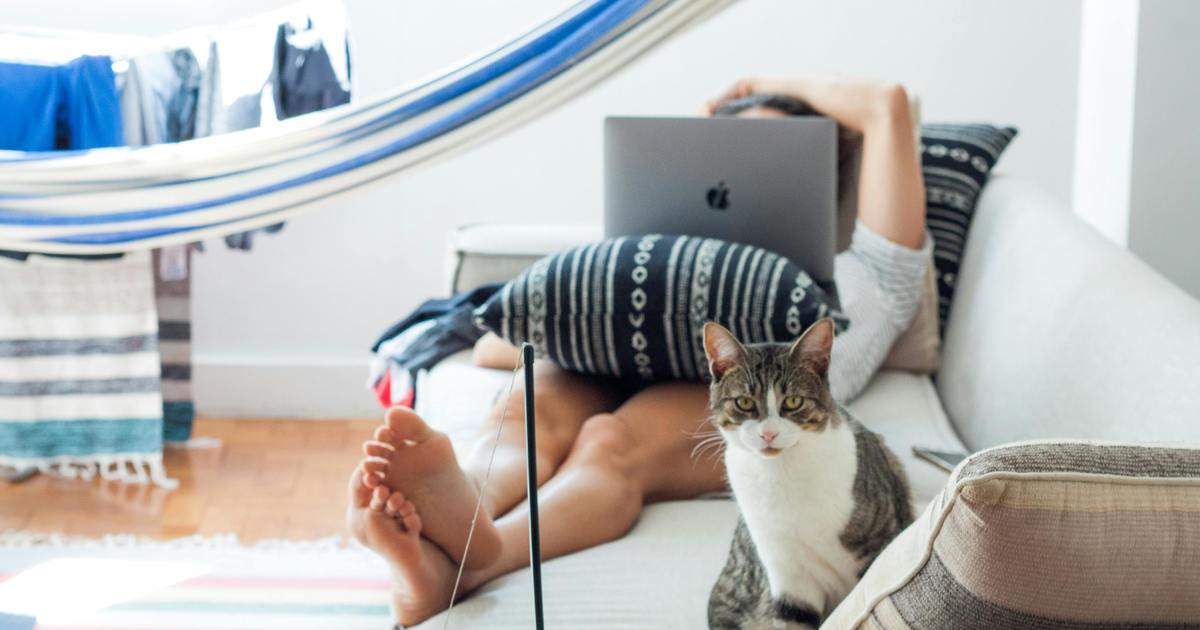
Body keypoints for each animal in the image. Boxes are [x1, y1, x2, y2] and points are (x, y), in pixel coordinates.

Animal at [700, 319, 907, 628]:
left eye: (794, 401)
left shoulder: (878, 545)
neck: (783, 474)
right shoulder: (789, 577)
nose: (768, 434)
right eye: (744, 403)